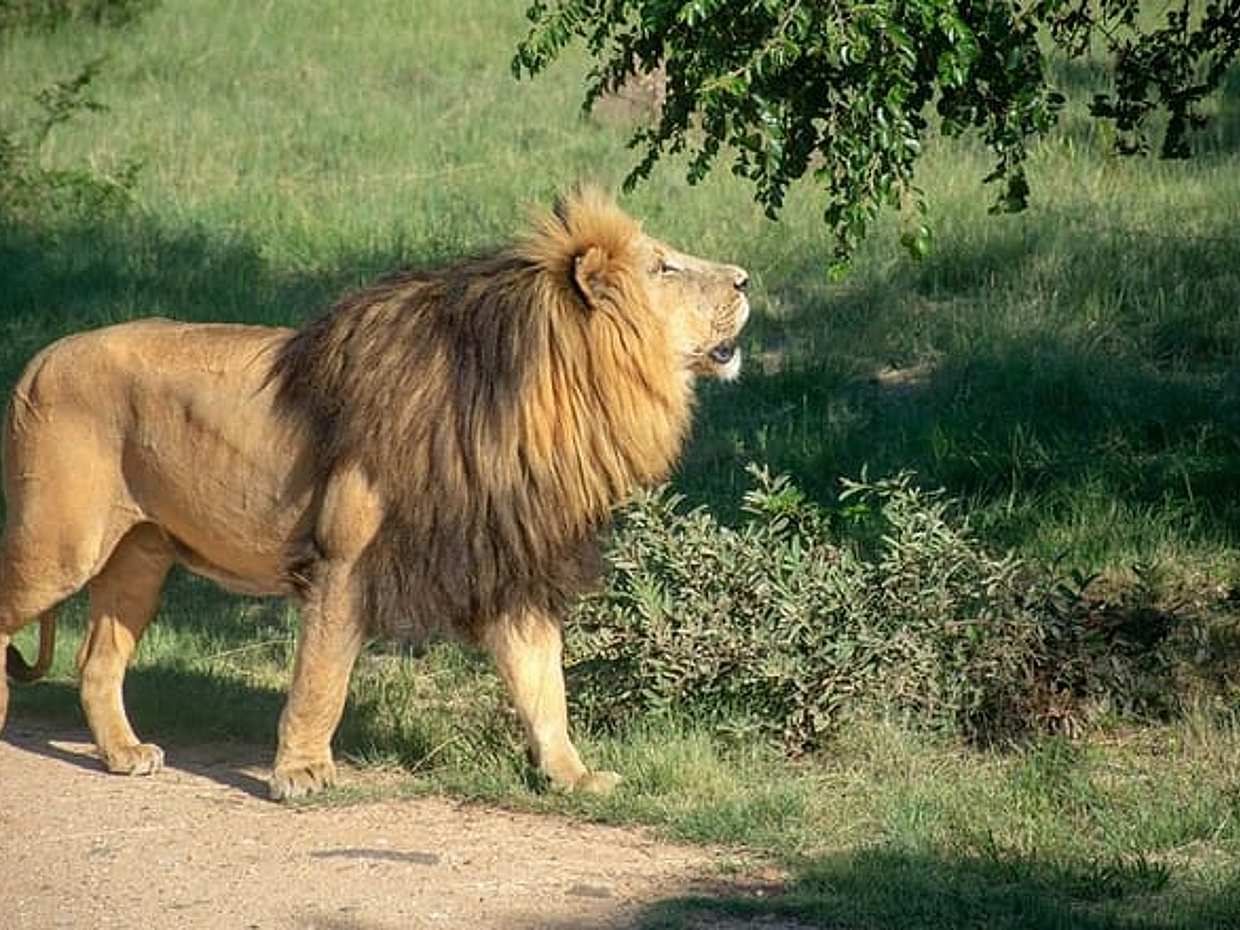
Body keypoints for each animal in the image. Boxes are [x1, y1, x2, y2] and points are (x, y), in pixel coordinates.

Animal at [0, 186, 749, 800]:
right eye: (665, 268)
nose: (746, 279)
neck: (546, 398)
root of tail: (41, 356)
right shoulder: (343, 560)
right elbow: (322, 677)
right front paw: (301, 773)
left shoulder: (505, 566)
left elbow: (544, 687)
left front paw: (574, 776)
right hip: (59, 543)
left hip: (141, 553)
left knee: (97, 662)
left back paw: (124, 754)